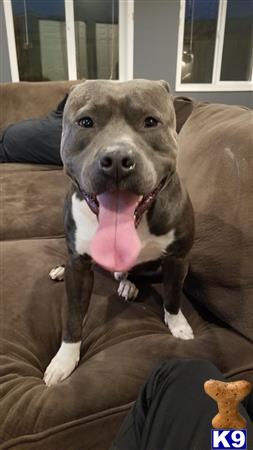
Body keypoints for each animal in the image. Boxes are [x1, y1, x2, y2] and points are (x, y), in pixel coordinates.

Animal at [44, 79, 195, 384]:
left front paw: (177, 325)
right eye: (86, 122)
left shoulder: (178, 259)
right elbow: (74, 316)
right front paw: (64, 359)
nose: (116, 159)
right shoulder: (79, 266)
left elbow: (173, 296)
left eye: (150, 121)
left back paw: (128, 283)